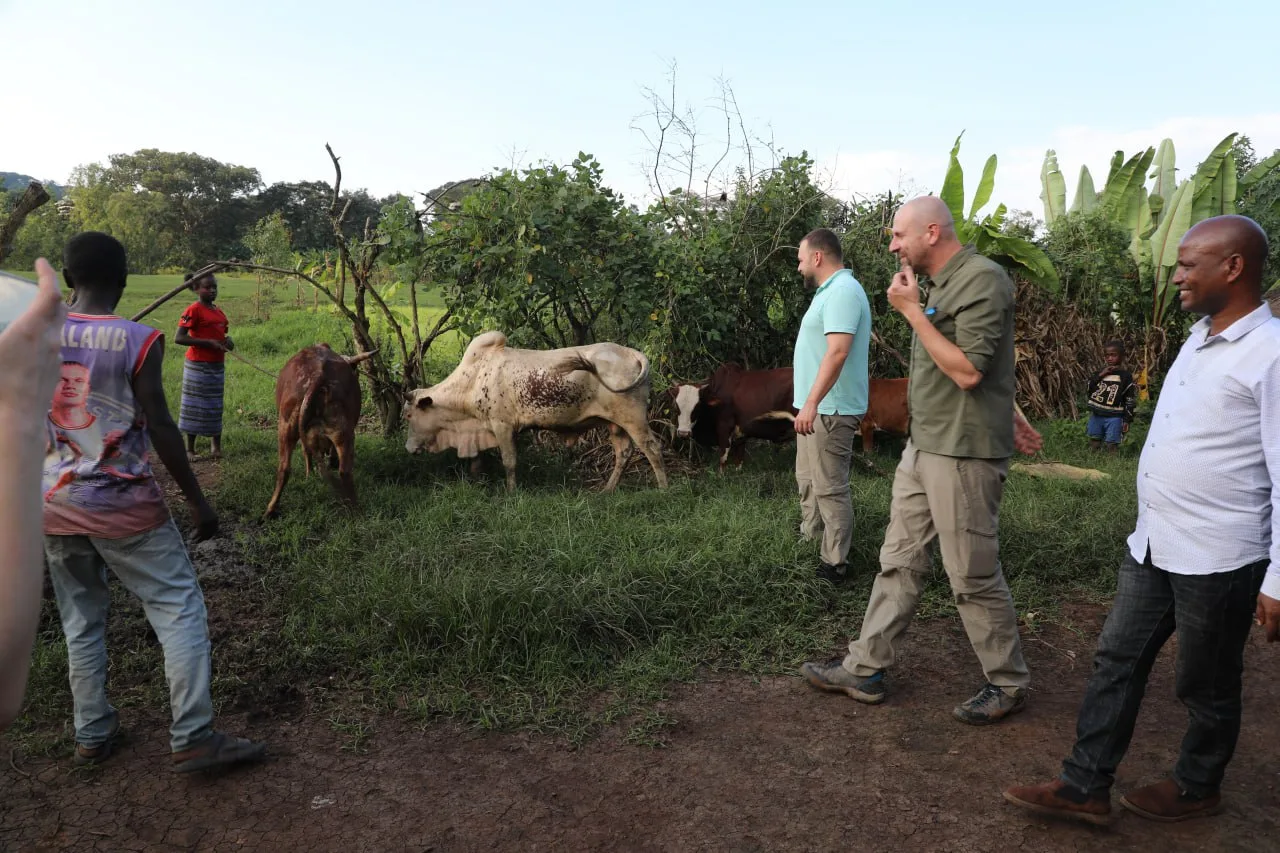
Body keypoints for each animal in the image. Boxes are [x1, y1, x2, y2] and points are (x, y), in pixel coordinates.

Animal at [263, 340, 373, 514]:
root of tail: (318, 376)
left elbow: (307, 452)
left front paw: (310, 475)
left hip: (285, 427)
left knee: (284, 468)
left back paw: (271, 509)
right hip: (344, 433)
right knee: (345, 471)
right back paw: (354, 507)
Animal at [404, 333, 670, 491]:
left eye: (408, 416)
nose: (408, 448)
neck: (473, 379)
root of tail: (632, 353)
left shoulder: (502, 426)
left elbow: (509, 462)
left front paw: (511, 492)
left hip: (633, 419)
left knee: (652, 447)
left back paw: (663, 489)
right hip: (615, 424)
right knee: (623, 453)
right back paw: (607, 490)